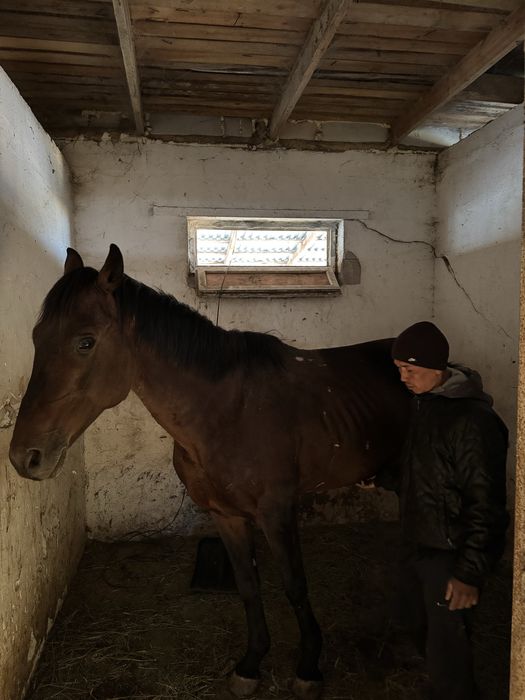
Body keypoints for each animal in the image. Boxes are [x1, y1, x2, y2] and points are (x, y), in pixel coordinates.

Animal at [9, 244, 410, 700]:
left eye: (85, 342)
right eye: (37, 338)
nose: (25, 456)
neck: (227, 411)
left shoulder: (277, 513)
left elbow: (295, 585)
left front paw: (308, 666)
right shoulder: (226, 516)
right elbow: (248, 586)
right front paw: (251, 664)